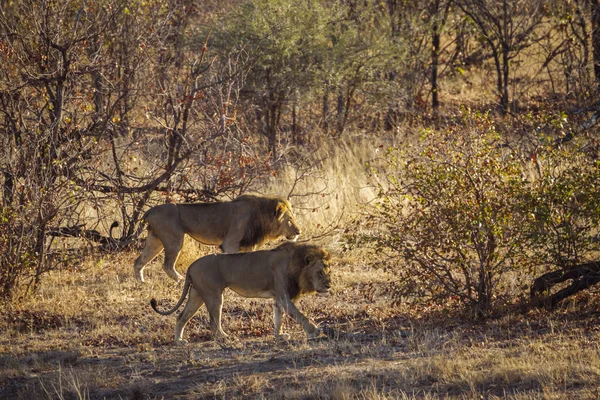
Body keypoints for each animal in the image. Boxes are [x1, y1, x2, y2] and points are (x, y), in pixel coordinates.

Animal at [132, 195, 300, 282]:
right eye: (289, 220)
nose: (299, 232)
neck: (261, 215)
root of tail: (151, 210)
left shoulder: (249, 244)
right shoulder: (231, 242)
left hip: (155, 240)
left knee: (139, 261)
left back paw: (141, 281)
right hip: (174, 239)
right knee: (167, 265)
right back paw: (180, 280)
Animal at [148, 241, 330, 344]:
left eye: (329, 271)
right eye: (320, 272)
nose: (329, 285)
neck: (297, 265)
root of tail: (191, 266)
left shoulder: (279, 298)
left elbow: (278, 318)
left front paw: (279, 336)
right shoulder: (284, 296)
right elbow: (299, 315)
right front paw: (313, 331)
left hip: (196, 295)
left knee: (181, 317)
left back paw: (179, 341)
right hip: (214, 296)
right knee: (213, 322)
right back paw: (225, 337)